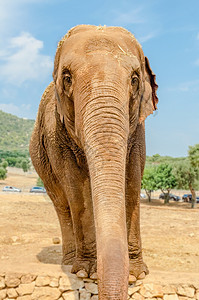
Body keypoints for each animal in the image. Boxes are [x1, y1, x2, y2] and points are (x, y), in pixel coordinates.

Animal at [28, 24, 158, 298]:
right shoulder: (57, 133)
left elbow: (132, 181)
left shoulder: (138, 130)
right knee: (62, 204)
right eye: (67, 78)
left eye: (134, 80)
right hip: (41, 163)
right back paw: (70, 262)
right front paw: (86, 273)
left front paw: (136, 274)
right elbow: (76, 189)